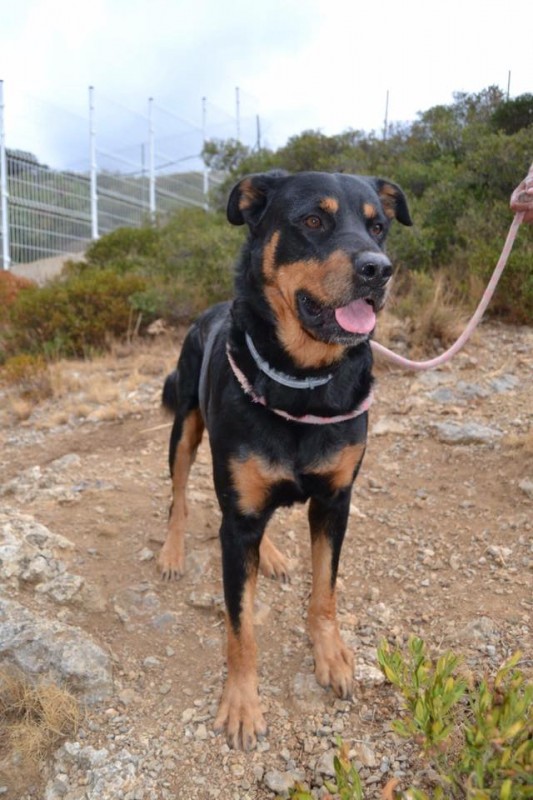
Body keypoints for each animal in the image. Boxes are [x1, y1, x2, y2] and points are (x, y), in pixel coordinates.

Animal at [158, 169, 412, 752]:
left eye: (379, 227)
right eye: (313, 220)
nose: (378, 270)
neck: (302, 380)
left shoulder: (335, 502)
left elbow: (325, 592)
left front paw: (331, 655)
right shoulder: (238, 523)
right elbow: (240, 627)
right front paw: (242, 703)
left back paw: (270, 555)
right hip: (184, 427)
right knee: (180, 495)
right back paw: (173, 550)